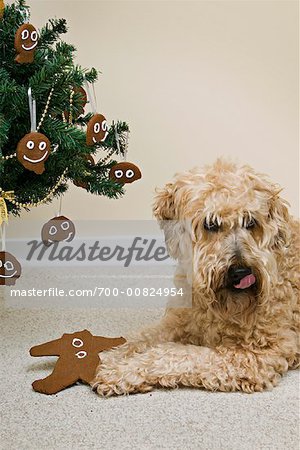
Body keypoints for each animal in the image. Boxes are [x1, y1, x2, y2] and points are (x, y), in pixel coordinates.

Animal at [92, 160, 298, 396]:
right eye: (210, 224)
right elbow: (141, 337)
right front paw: (110, 356)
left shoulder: (257, 354)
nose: (241, 272)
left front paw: (122, 372)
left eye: (250, 222)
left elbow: (176, 354)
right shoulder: (180, 321)